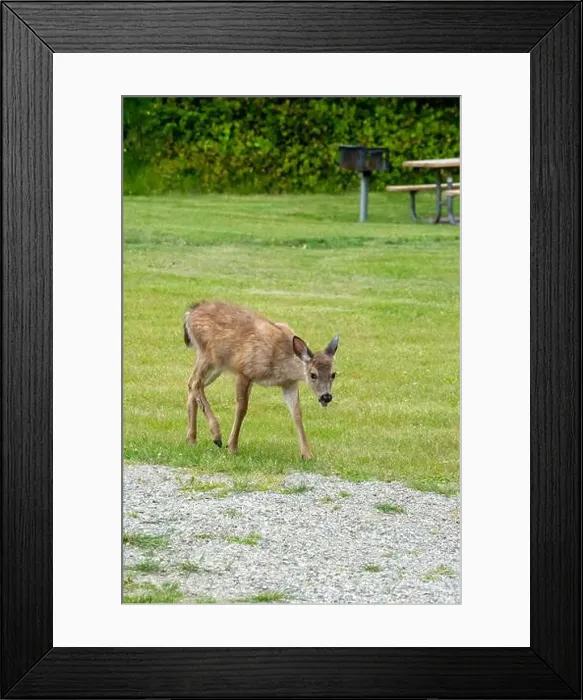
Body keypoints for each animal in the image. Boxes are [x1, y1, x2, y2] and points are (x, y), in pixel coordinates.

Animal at [183, 301, 339, 459]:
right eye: (313, 374)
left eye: (333, 374)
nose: (326, 397)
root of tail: (190, 313)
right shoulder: (245, 371)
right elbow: (241, 408)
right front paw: (232, 447)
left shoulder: (289, 384)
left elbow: (297, 414)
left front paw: (307, 454)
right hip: (209, 355)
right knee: (196, 383)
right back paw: (216, 436)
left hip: (216, 366)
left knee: (191, 383)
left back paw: (192, 439)